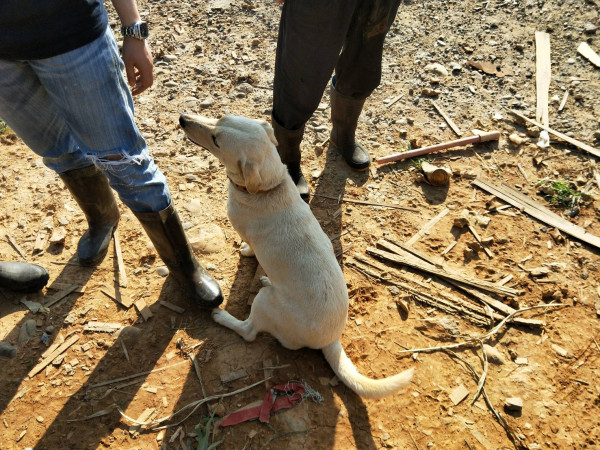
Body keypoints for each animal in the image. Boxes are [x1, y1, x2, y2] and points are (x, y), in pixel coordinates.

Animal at [178, 114, 412, 400]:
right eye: (219, 117)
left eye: (216, 141)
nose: (183, 119)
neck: (270, 186)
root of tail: (330, 340)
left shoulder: (245, 232)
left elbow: (250, 248)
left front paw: (245, 252)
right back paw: (265, 280)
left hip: (264, 303)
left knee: (249, 332)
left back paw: (223, 317)